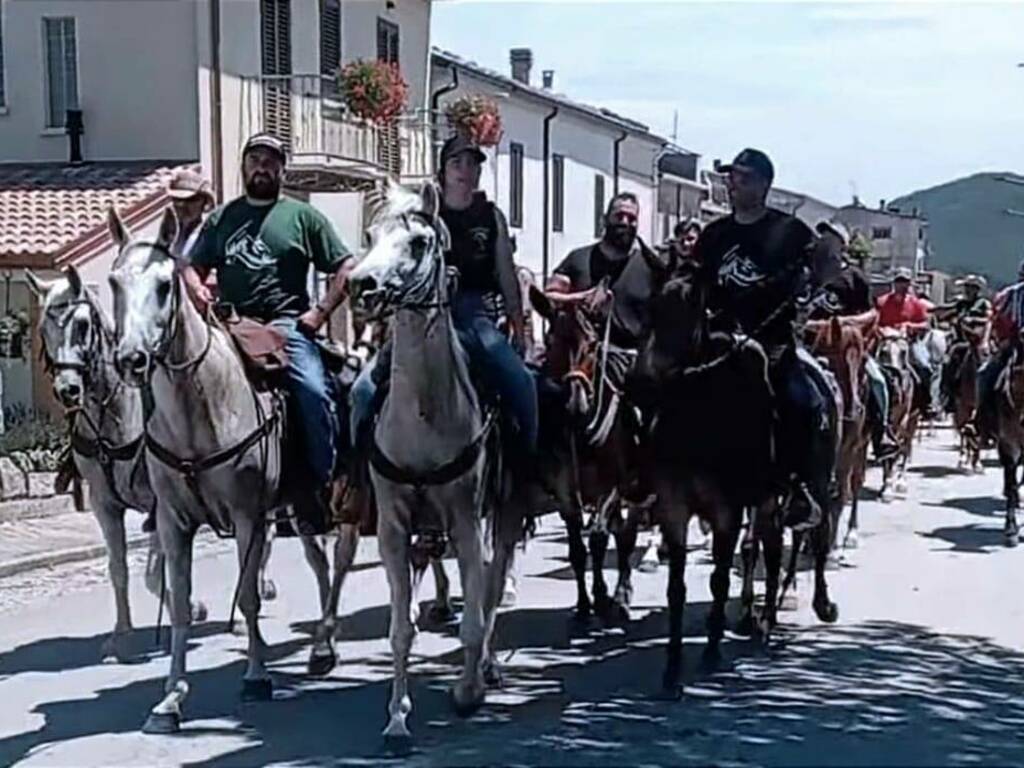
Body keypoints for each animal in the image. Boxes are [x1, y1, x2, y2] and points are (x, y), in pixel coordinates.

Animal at [26, 266, 207, 663]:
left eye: (81, 325)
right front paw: (121, 635)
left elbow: (157, 573)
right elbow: (119, 569)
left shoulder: (160, 502)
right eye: (44, 328)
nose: (67, 390)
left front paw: (187, 608)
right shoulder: (103, 504)